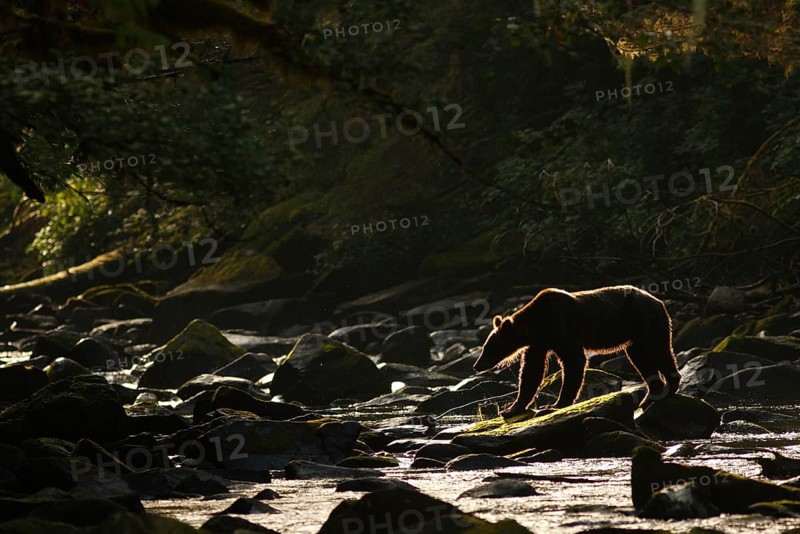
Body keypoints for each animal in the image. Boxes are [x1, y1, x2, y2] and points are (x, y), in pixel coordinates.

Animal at [473, 285, 680, 417]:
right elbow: (532, 371)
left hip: (646, 322)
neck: (538, 325)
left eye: (488, 348)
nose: (476, 365)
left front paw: (554, 404)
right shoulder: (539, 343)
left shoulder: (562, 327)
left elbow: (573, 360)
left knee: (659, 351)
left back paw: (669, 388)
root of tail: (660, 301)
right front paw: (511, 408)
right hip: (633, 336)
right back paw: (649, 397)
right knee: (642, 360)